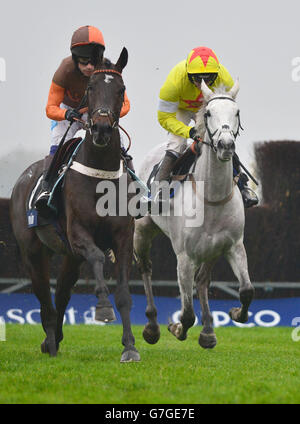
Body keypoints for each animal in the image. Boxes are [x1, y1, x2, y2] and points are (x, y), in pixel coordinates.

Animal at [9, 48, 140, 362]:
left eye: (121, 90)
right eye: (91, 88)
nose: (102, 129)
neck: (100, 175)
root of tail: (23, 177)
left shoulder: (123, 238)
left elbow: (124, 294)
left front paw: (130, 346)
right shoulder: (78, 234)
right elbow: (97, 257)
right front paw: (102, 308)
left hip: (69, 257)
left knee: (61, 294)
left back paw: (54, 338)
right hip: (33, 252)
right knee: (45, 298)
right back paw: (50, 342)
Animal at [134, 79, 253, 348]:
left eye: (237, 112)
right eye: (208, 113)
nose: (226, 146)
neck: (212, 197)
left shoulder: (234, 246)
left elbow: (246, 291)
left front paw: (235, 313)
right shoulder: (184, 257)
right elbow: (187, 313)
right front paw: (175, 327)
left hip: (212, 250)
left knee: (202, 280)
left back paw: (208, 331)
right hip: (143, 230)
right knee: (145, 267)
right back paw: (152, 326)